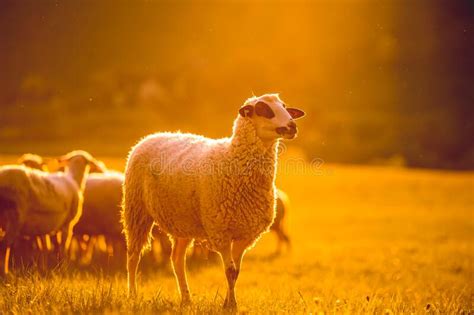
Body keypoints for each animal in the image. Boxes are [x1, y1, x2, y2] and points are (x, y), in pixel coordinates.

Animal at [122, 93, 306, 308]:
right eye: (263, 109)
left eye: (285, 107)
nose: (292, 126)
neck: (232, 159)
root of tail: (150, 136)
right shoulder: (221, 232)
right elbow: (230, 271)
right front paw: (231, 305)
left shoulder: (245, 235)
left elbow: (236, 272)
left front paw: (229, 302)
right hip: (136, 210)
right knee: (133, 256)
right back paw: (132, 295)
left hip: (182, 222)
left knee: (177, 259)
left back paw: (186, 299)